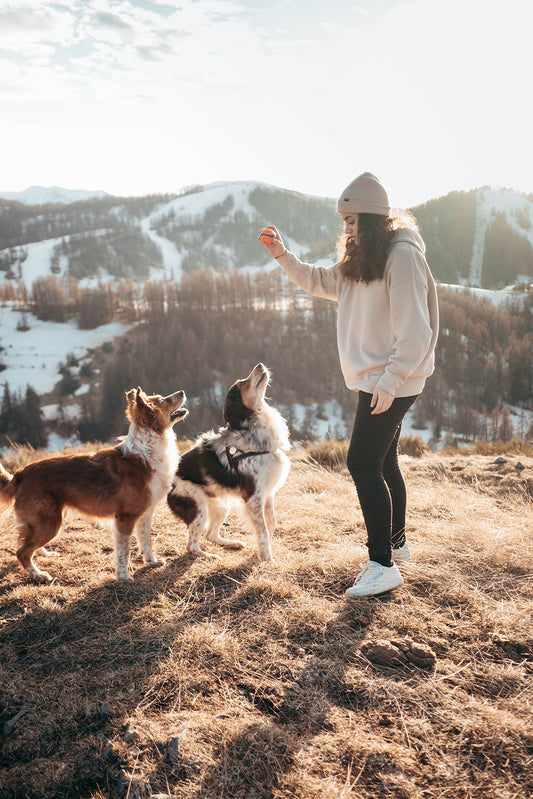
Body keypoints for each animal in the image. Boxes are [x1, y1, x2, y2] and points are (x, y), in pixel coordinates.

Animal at [0, 388, 187, 580]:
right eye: (163, 400)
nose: (181, 391)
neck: (146, 453)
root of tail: (19, 474)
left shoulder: (145, 514)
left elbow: (146, 541)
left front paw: (152, 561)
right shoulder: (125, 517)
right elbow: (123, 551)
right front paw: (123, 576)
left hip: (46, 521)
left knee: (27, 542)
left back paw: (44, 554)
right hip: (50, 523)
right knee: (22, 551)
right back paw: (38, 574)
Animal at [167, 364, 288, 564]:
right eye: (243, 383)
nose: (260, 365)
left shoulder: (268, 493)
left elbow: (271, 523)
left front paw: (263, 554)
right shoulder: (254, 497)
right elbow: (262, 530)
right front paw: (268, 559)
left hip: (221, 505)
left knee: (210, 535)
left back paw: (232, 543)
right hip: (198, 508)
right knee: (191, 546)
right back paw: (209, 556)